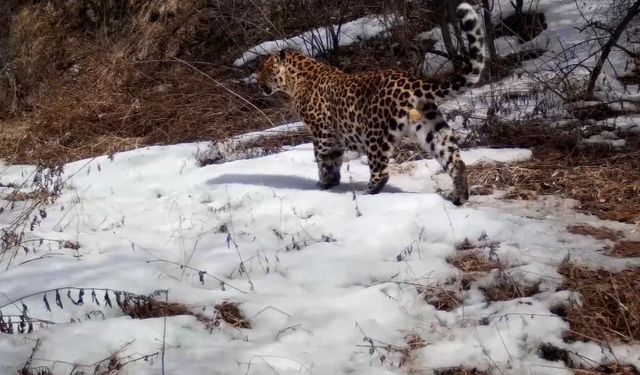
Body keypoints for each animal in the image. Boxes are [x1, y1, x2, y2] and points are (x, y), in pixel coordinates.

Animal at [255, 2, 484, 206]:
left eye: (266, 69)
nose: (258, 82)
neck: (294, 80)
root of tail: (412, 80)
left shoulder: (322, 133)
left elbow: (323, 159)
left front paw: (324, 184)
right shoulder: (335, 135)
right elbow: (334, 160)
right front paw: (332, 183)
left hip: (375, 133)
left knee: (381, 171)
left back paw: (366, 193)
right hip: (429, 128)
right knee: (455, 161)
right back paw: (459, 197)